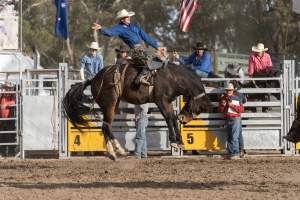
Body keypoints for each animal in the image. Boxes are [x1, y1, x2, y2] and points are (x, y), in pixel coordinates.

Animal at [62, 62, 211, 159]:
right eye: (199, 107)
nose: (183, 119)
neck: (172, 77)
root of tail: (94, 79)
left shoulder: (167, 102)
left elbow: (172, 118)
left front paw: (179, 142)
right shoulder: (161, 101)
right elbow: (169, 118)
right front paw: (174, 141)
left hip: (114, 104)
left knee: (106, 126)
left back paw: (115, 152)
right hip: (110, 103)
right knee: (106, 126)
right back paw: (118, 151)